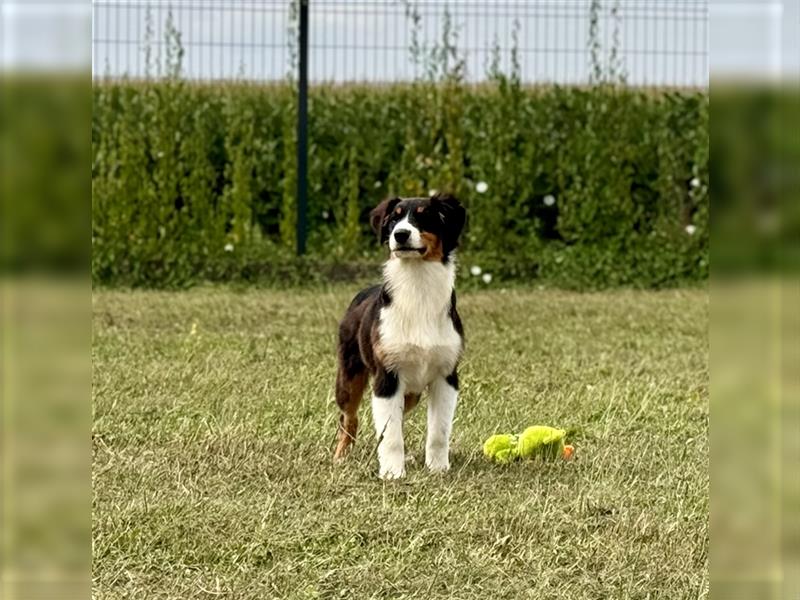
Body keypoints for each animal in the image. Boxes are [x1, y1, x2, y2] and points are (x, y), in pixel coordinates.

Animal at [332, 192, 468, 478]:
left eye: (425, 216)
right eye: (393, 219)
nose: (401, 234)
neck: (418, 285)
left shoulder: (446, 375)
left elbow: (439, 431)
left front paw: (438, 469)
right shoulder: (387, 375)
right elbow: (391, 435)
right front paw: (392, 473)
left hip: (412, 393)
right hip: (349, 375)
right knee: (349, 417)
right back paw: (341, 457)